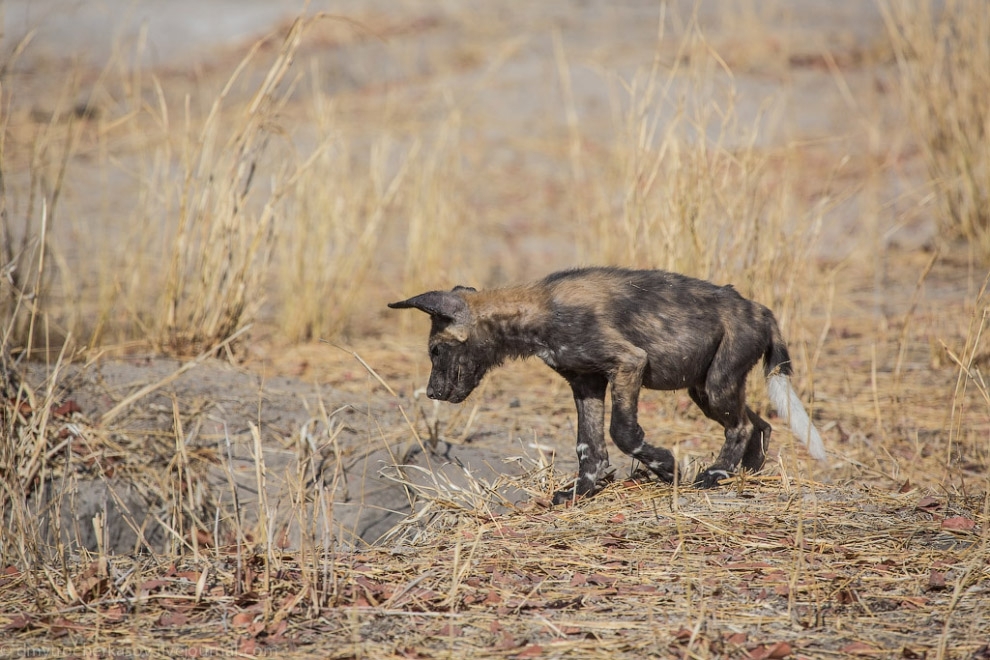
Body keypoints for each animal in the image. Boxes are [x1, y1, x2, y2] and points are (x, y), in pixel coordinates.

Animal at [392, 268, 824, 506]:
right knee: (759, 424)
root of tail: (762, 310)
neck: (535, 313)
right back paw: (744, 473)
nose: (431, 393)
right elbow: (589, 447)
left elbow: (623, 433)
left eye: (435, 351)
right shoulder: (586, 383)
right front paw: (581, 493)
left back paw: (715, 474)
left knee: (743, 425)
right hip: (704, 390)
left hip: (716, 387)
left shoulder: (628, 363)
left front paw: (667, 467)